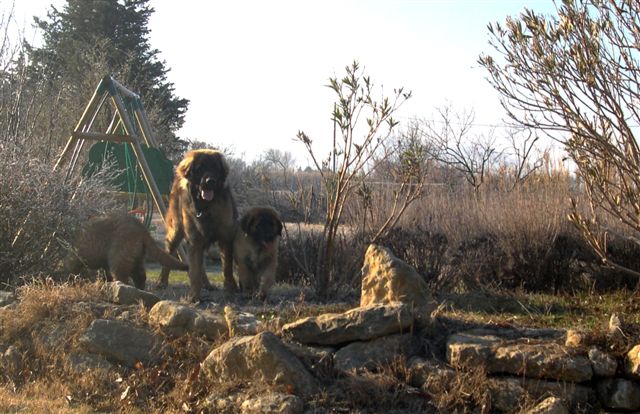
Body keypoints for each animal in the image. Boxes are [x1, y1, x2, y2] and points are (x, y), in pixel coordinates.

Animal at [158, 149, 238, 301]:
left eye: (215, 168)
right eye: (200, 168)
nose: (210, 181)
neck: (206, 208)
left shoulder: (225, 238)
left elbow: (227, 268)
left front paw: (230, 290)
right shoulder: (194, 240)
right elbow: (194, 272)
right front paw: (194, 296)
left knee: (202, 266)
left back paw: (207, 284)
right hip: (175, 231)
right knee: (170, 252)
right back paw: (161, 282)